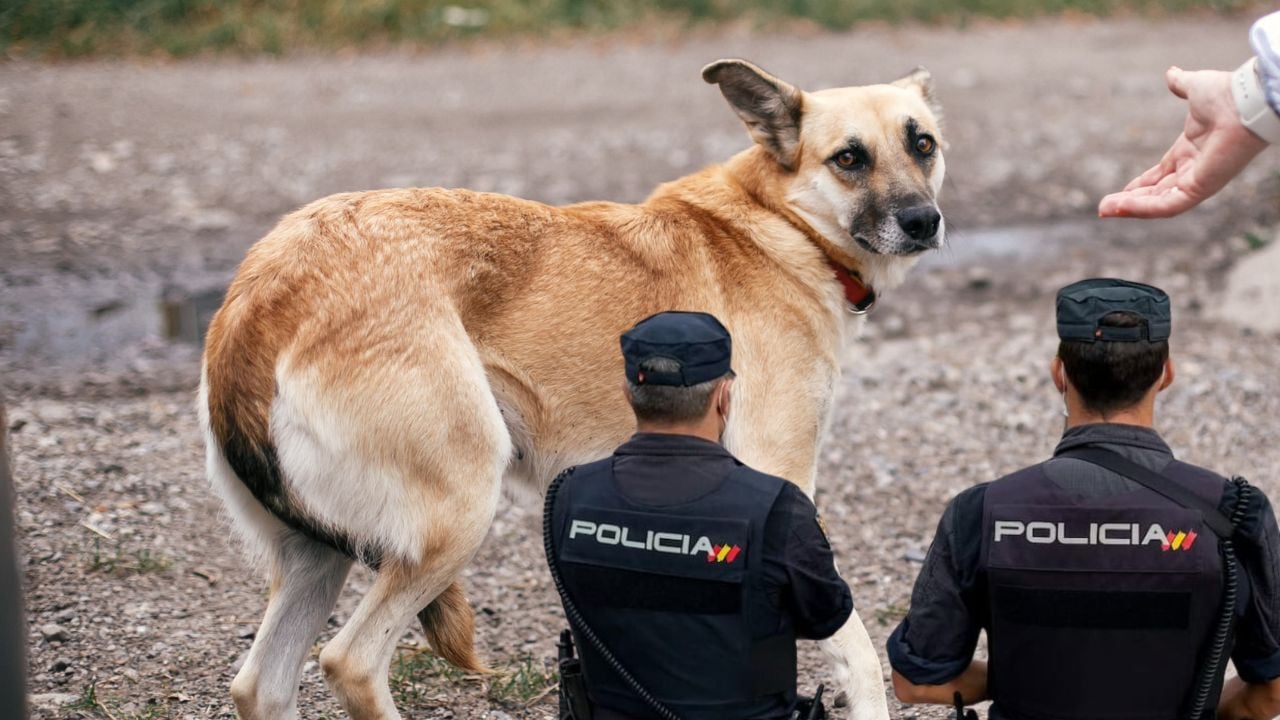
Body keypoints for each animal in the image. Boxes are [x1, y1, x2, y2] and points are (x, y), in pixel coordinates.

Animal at [197, 57, 942, 717]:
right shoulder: (786, 483)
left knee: (260, 686)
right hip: (457, 512)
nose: (924, 222)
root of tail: (263, 293)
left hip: (316, 557)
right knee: (349, 662)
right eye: (849, 158)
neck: (782, 225)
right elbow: (858, 654)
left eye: (923, 144)